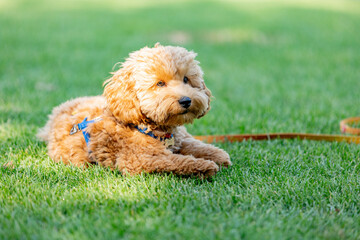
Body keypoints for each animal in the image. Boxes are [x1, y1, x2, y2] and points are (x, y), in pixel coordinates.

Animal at [38, 43, 232, 178]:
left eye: (186, 79)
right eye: (159, 83)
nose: (186, 100)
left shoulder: (179, 139)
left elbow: (195, 145)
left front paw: (217, 155)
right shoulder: (140, 159)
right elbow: (176, 161)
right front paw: (205, 166)